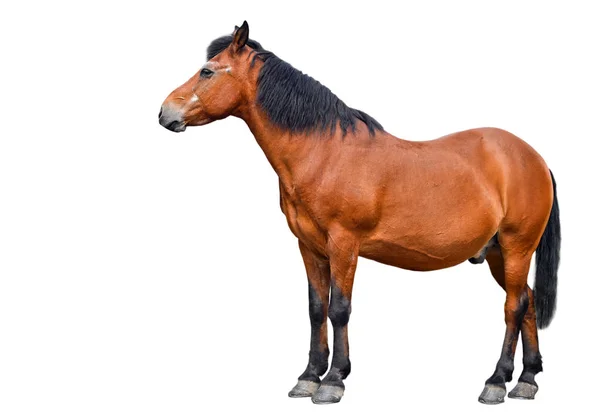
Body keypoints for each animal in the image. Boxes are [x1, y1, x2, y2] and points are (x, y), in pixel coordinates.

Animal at [158, 22, 556, 404]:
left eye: (207, 71)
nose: (164, 113)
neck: (324, 153)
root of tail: (534, 158)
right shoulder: (310, 247)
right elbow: (316, 308)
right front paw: (308, 377)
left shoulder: (344, 245)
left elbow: (339, 309)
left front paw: (333, 381)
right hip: (498, 254)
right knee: (528, 302)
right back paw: (527, 380)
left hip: (517, 247)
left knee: (513, 307)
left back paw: (496, 382)